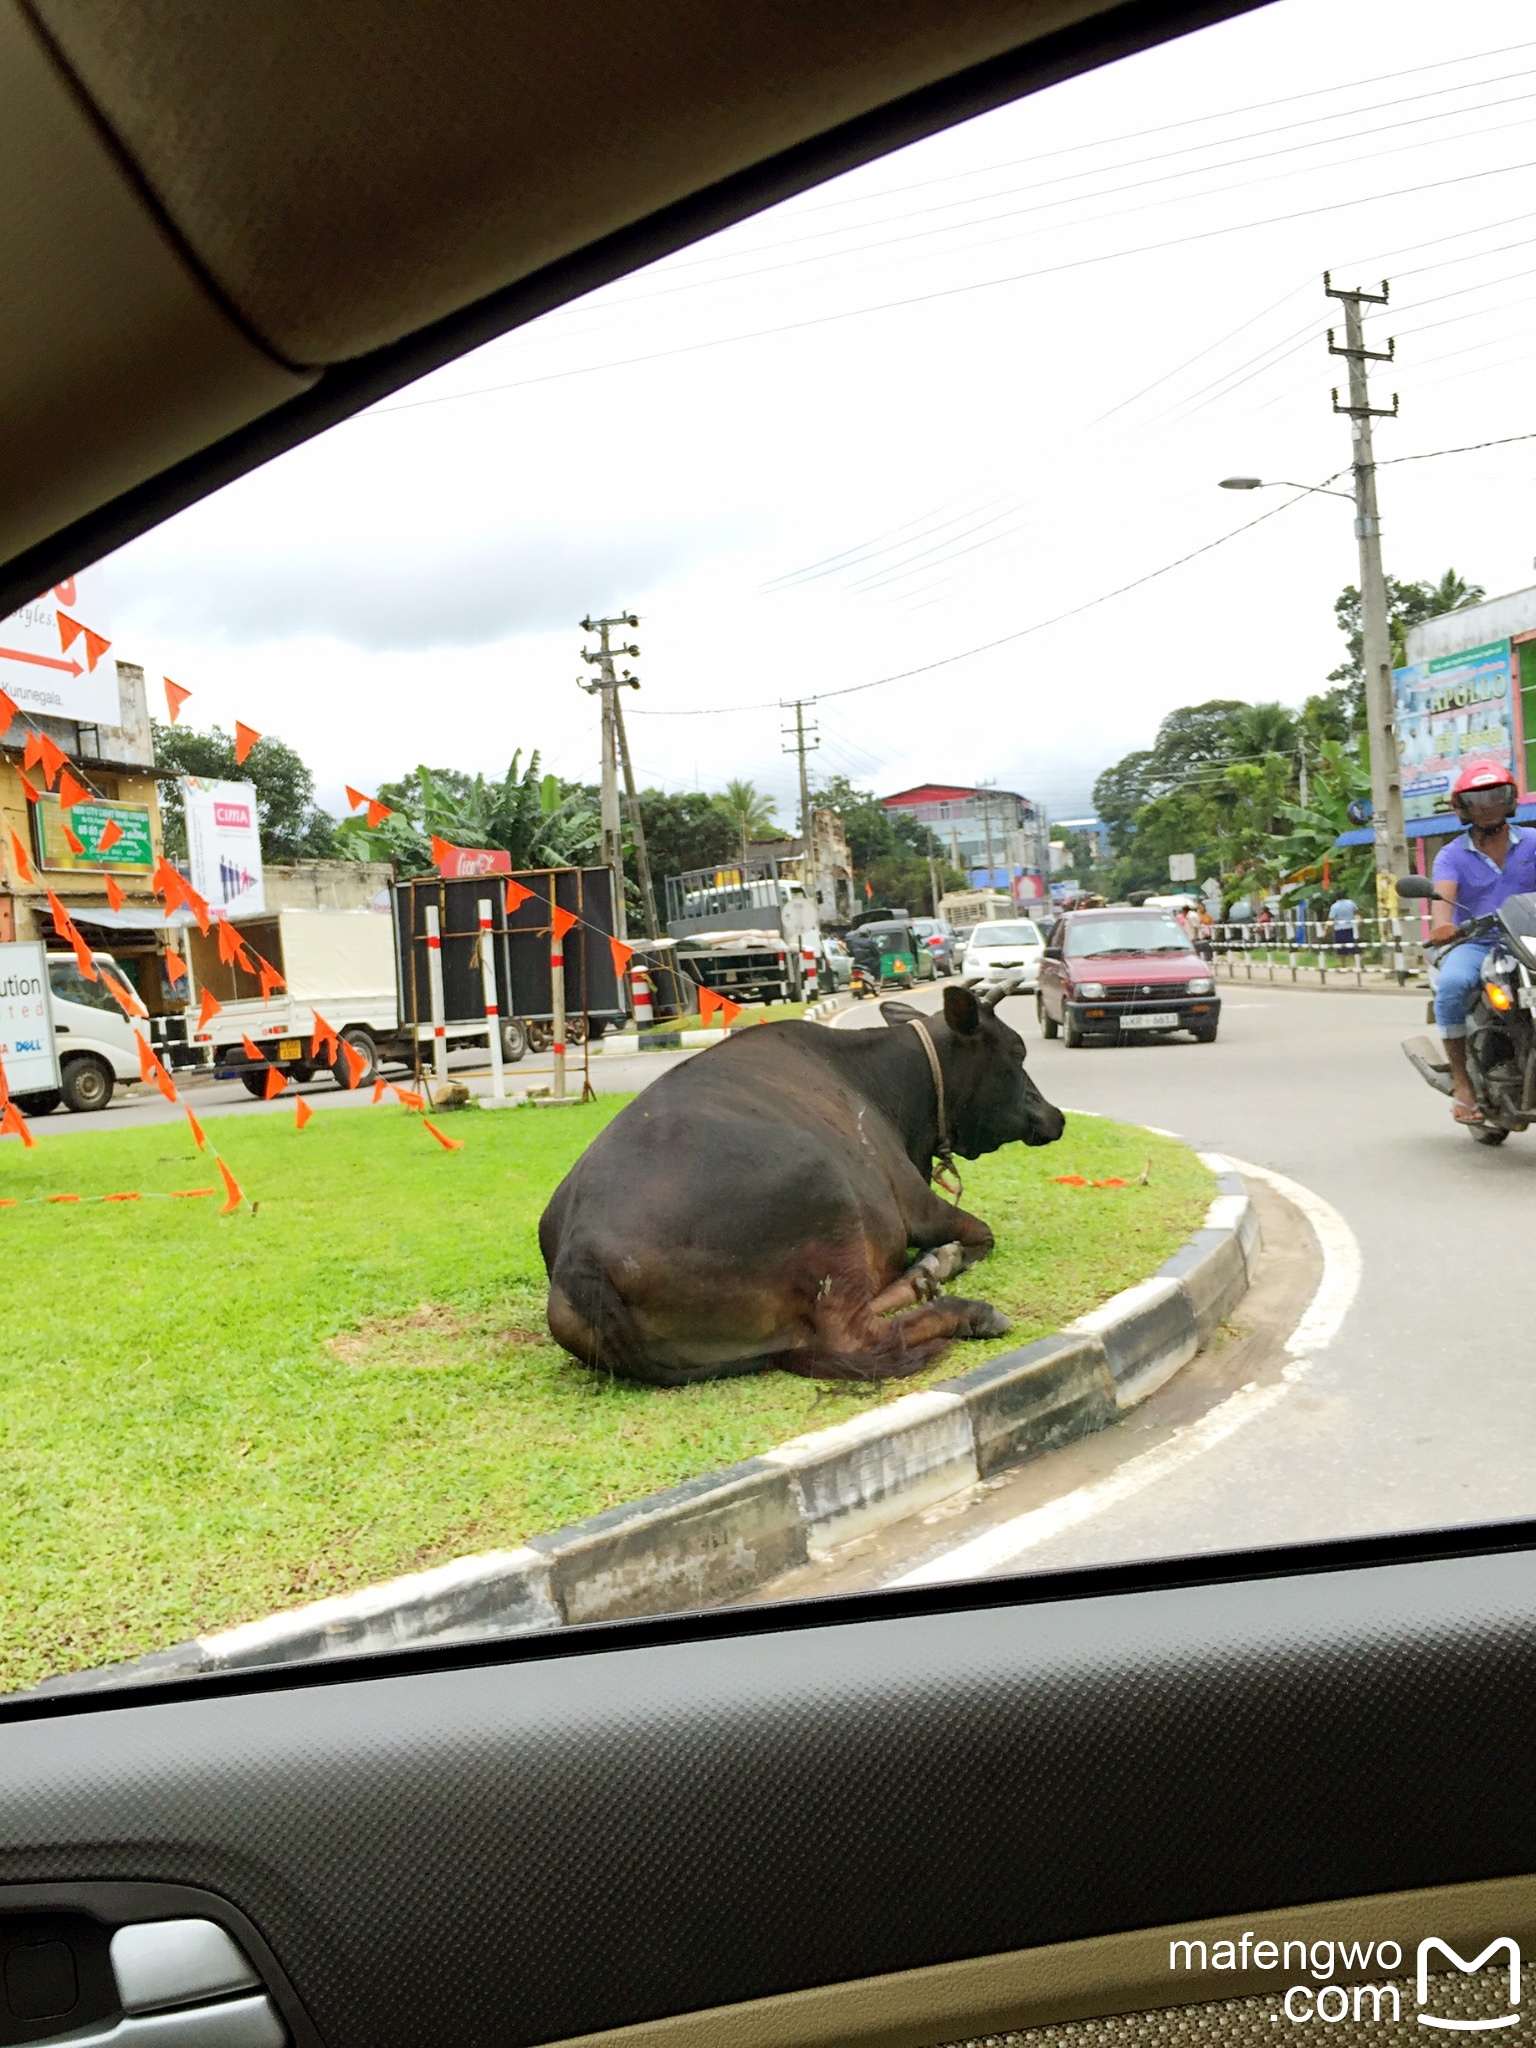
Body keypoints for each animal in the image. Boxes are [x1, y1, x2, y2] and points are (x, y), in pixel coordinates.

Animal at [544, 983, 1073, 1384]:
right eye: (1017, 1052)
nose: (1057, 1116)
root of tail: (580, 1255)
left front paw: (929, 1266)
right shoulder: (916, 1203)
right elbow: (982, 1234)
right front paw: (945, 1262)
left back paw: (924, 1275)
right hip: (826, 1190)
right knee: (854, 1333)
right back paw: (968, 1309)